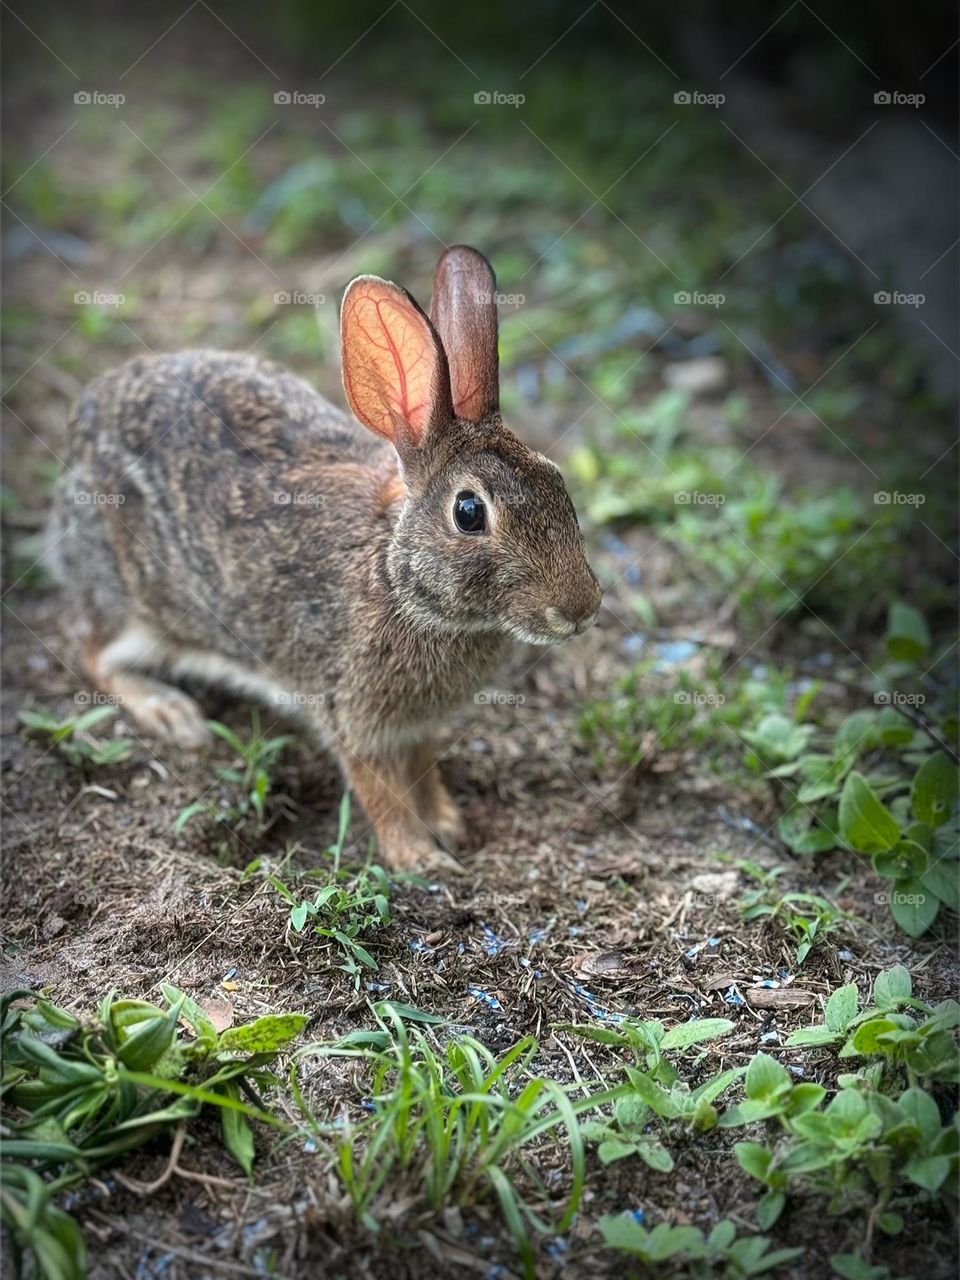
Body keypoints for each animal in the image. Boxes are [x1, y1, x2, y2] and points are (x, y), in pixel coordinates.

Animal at [47, 244, 601, 870]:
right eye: (468, 512)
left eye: (557, 480)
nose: (582, 609)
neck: (396, 579)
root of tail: (82, 426)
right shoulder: (352, 714)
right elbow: (380, 791)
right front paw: (420, 858)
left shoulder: (416, 725)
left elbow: (422, 769)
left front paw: (448, 823)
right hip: (133, 604)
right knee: (91, 651)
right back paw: (170, 711)